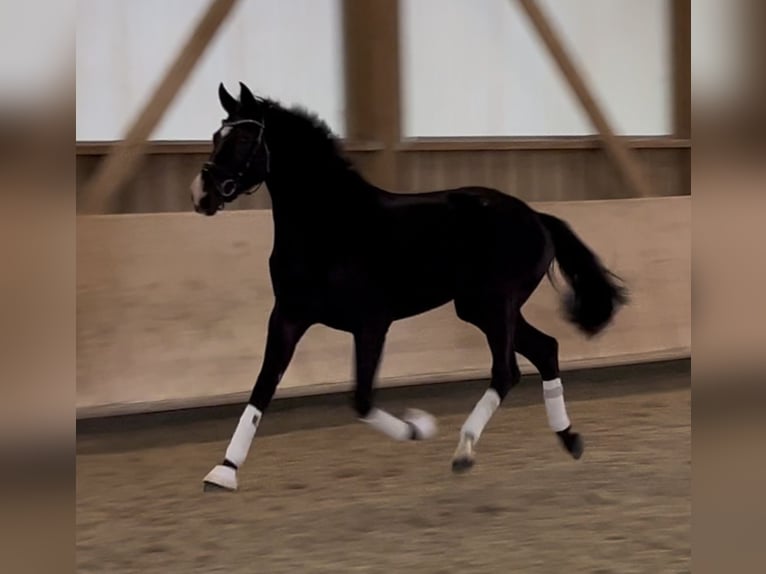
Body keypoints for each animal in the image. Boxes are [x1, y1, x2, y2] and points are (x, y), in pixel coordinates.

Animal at [194, 82, 632, 496]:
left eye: (244, 140)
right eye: (217, 136)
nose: (202, 194)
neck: (331, 225)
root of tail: (537, 217)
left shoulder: (371, 323)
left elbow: (362, 400)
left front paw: (419, 426)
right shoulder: (288, 316)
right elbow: (263, 387)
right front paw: (224, 471)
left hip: (493, 306)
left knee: (507, 371)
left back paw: (464, 450)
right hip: (482, 307)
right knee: (545, 350)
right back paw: (569, 439)